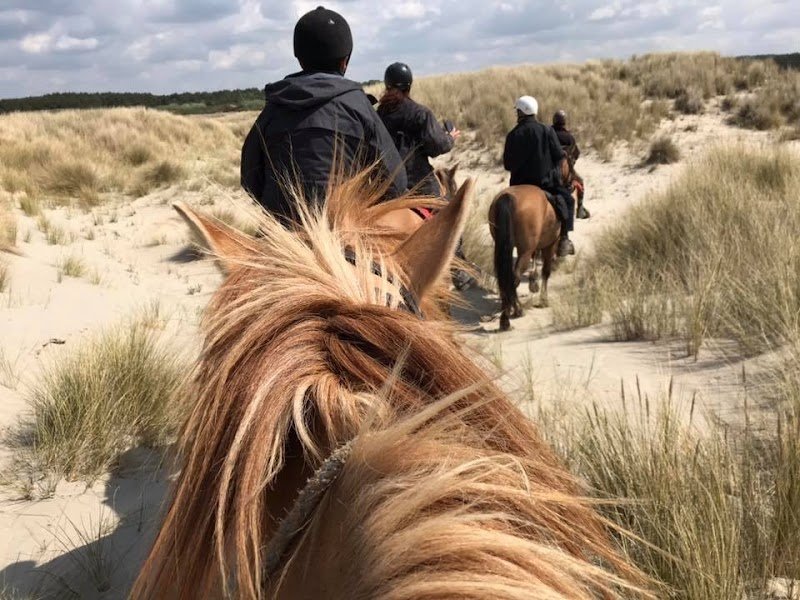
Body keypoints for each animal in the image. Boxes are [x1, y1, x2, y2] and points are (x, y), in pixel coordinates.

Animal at [488, 158, 572, 331]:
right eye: (572, 160)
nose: (572, 183)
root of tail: (507, 196)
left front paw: (534, 283)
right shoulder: (550, 245)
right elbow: (546, 271)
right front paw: (543, 299)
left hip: (503, 246)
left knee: (505, 279)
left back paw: (509, 312)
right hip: (525, 251)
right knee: (514, 278)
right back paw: (511, 316)